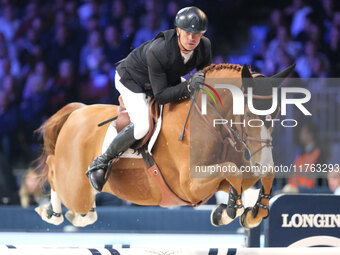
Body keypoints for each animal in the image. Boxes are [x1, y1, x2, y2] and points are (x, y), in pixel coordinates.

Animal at [35, 63, 294, 229]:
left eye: (277, 113)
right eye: (249, 114)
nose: (264, 161)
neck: (209, 120)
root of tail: (77, 111)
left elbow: (251, 175)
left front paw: (240, 212)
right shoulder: (189, 185)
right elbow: (233, 170)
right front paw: (231, 210)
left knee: (80, 207)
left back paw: (80, 215)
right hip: (73, 186)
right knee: (53, 168)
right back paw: (51, 213)